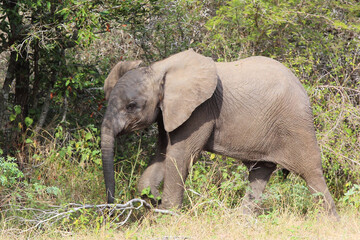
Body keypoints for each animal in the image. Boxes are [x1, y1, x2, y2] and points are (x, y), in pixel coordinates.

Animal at [100, 48, 338, 218]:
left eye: (132, 106)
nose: (110, 212)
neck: (159, 69)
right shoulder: (167, 112)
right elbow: (163, 152)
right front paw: (152, 198)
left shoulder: (200, 110)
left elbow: (181, 155)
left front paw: (166, 215)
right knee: (259, 173)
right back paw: (241, 222)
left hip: (296, 123)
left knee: (312, 173)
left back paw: (330, 223)